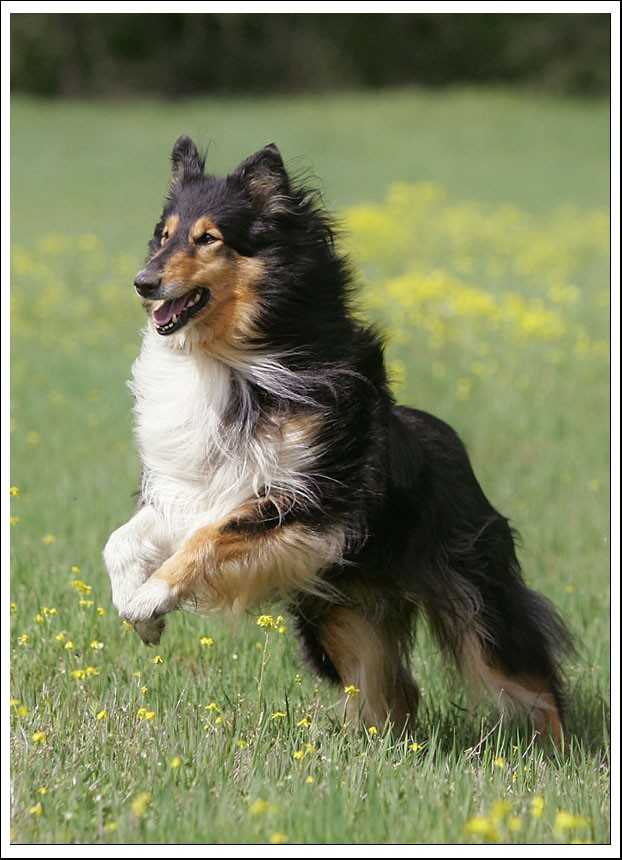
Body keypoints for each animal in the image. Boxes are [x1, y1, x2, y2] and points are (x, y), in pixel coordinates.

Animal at [105, 138, 572, 744]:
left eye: (208, 237)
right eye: (163, 235)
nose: (143, 282)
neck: (233, 361)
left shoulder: (312, 499)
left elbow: (209, 538)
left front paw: (149, 599)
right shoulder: (193, 488)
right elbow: (123, 542)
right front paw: (141, 615)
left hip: (474, 591)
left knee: (530, 678)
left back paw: (557, 752)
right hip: (338, 615)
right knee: (395, 691)